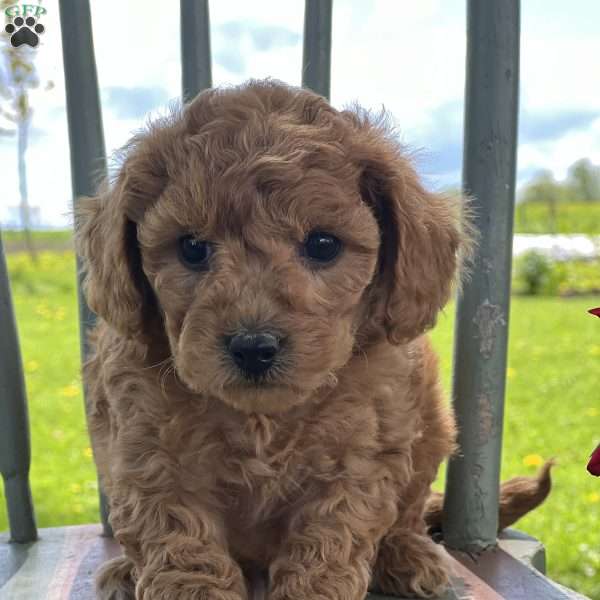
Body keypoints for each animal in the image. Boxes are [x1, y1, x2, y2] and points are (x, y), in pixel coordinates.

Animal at [75, 79, 548, 600]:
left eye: (323, 245)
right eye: (192, 248)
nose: (253, 347)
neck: (262, 419)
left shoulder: (358, 460)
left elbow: (328, 544)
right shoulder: (150, 458)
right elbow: (183, 546)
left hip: (432, 427)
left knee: (408, 514)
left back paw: (408, 555)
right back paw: (124, 571)